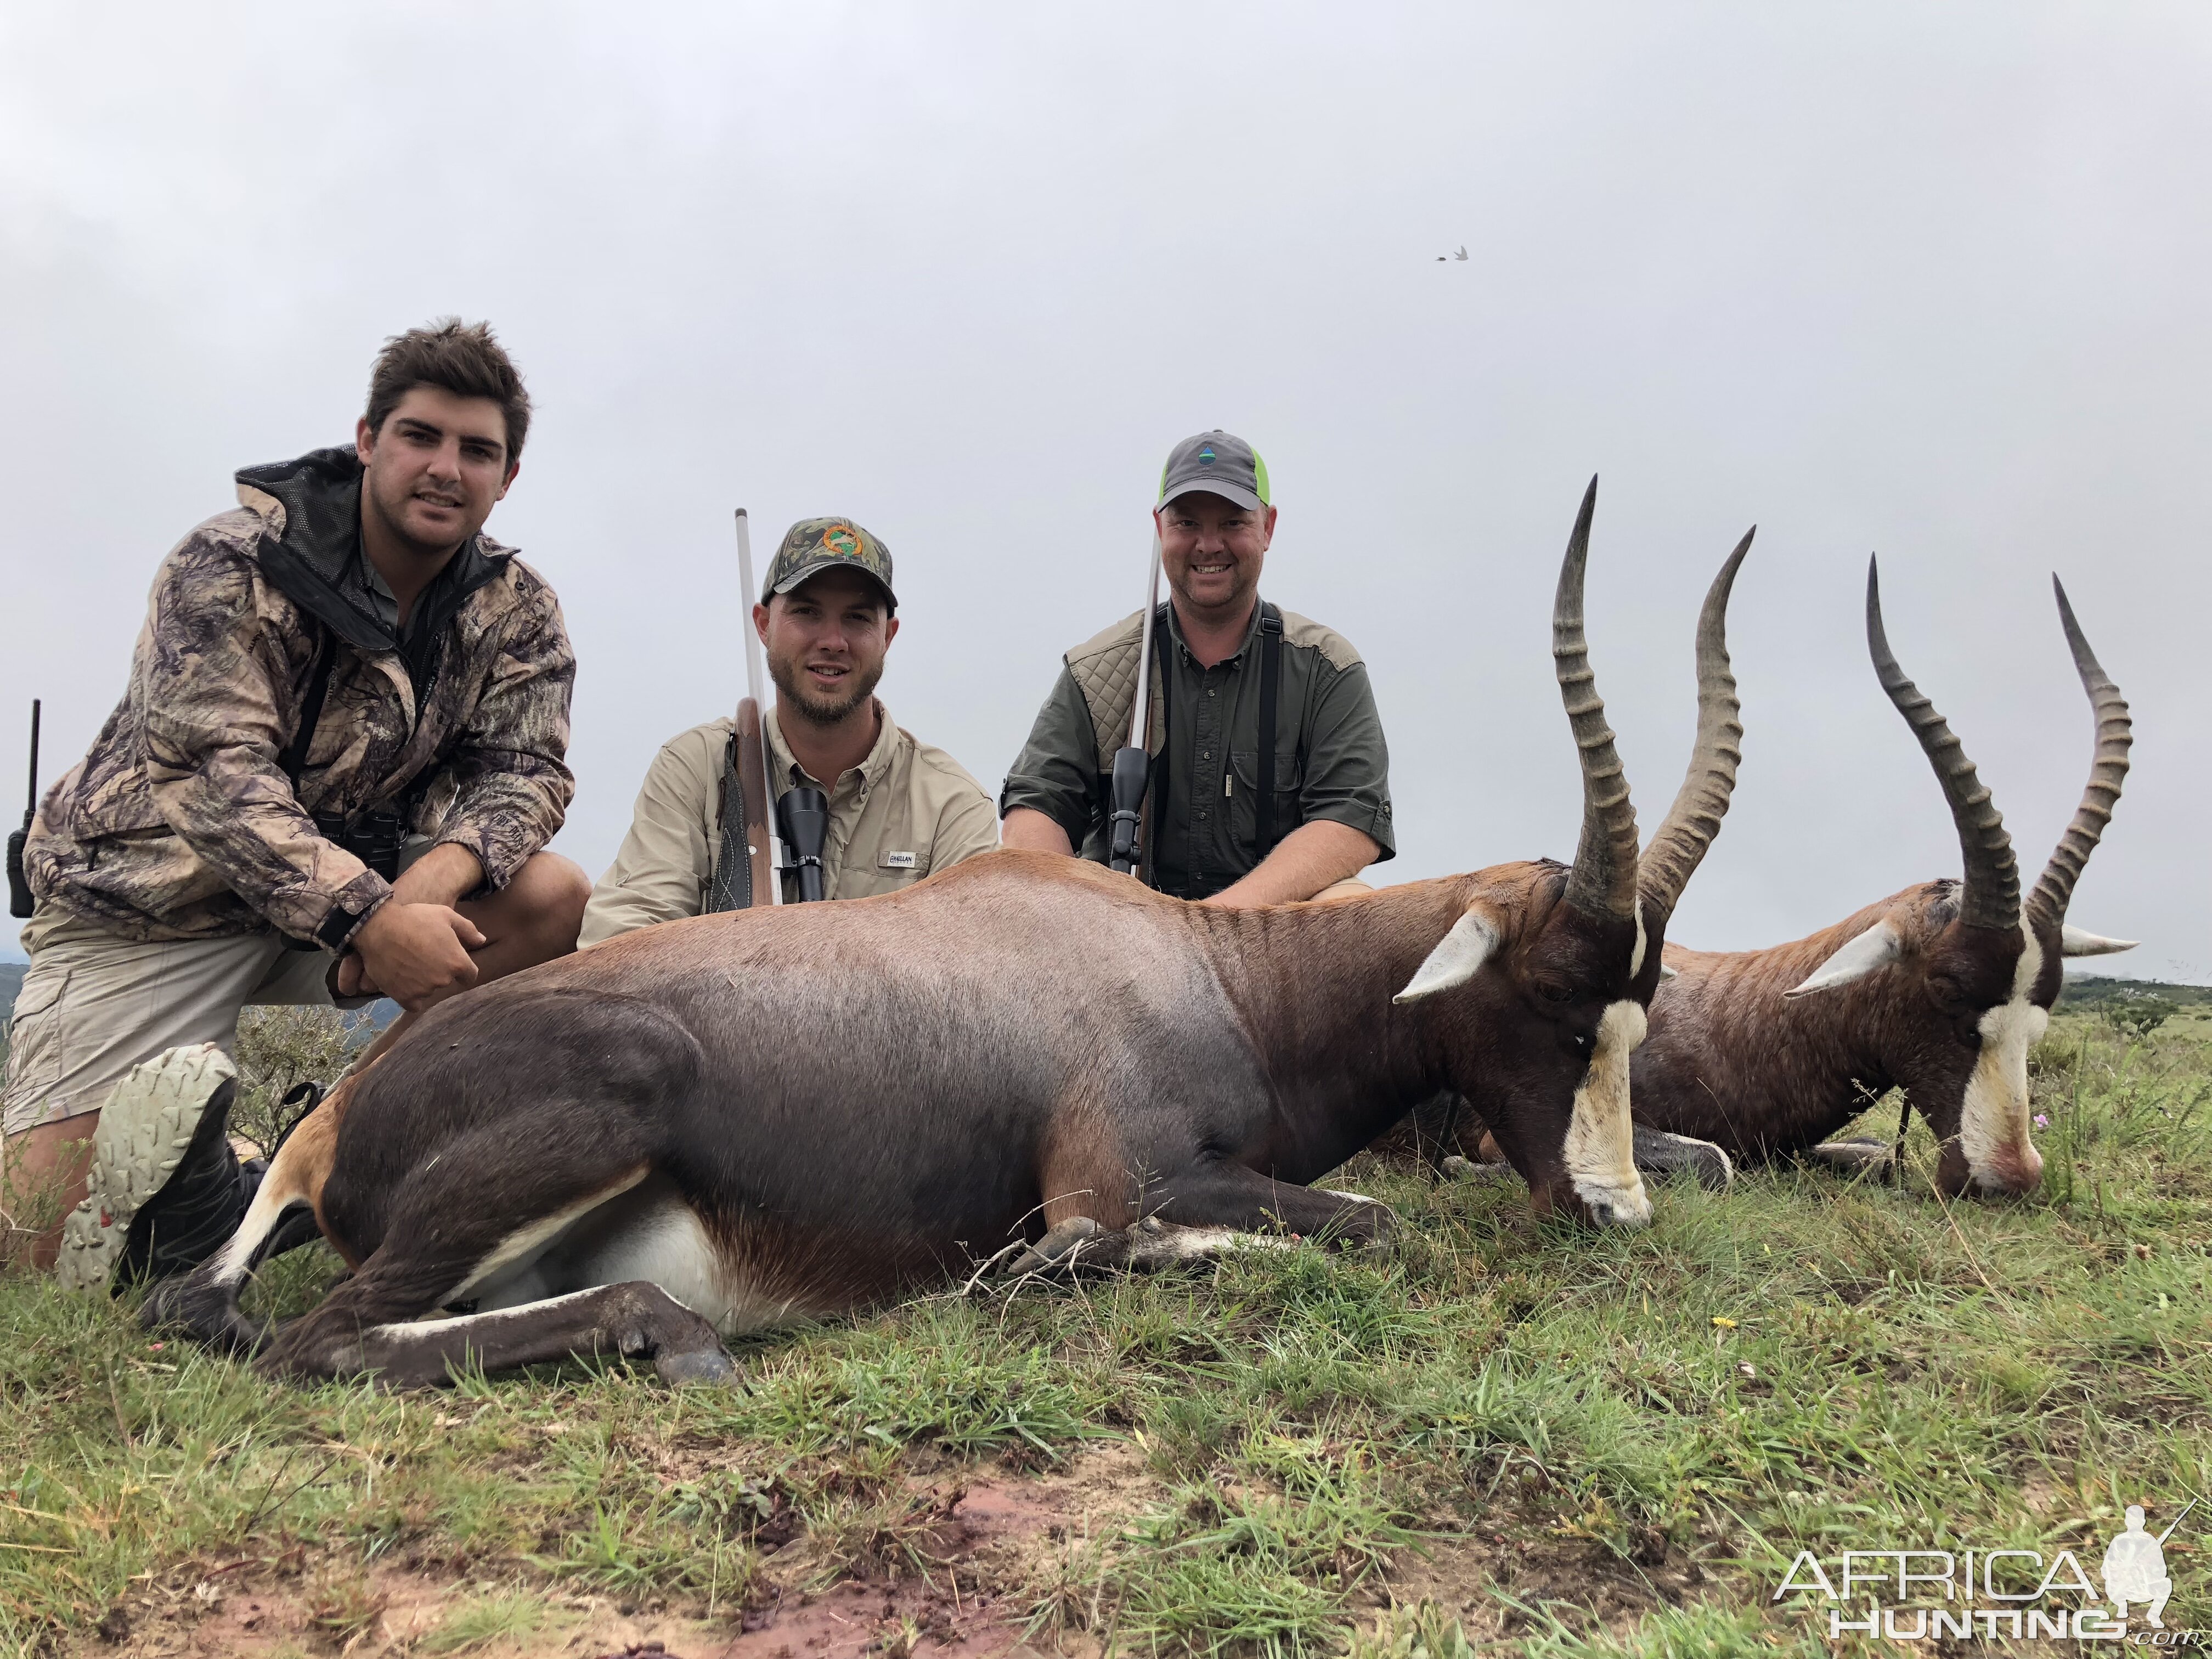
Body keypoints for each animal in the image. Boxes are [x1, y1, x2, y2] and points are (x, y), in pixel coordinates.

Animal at [147, 479, 1752, 1389]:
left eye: (1638, 1010)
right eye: (1558, 1002)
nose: (1615, 1210)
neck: (1208, 968)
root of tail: (333, 1119)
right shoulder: (1119, 1175)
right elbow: (1353, 1224)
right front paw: (1022, 1274)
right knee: (316, 1341)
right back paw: (682, 1337)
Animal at [1637, 562, 2132, 1194]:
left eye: (2046, 1000)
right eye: (1947, 988)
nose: (2011, 1177)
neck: (1735, 1017)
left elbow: (1876, 1152)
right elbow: (1715, 1160)